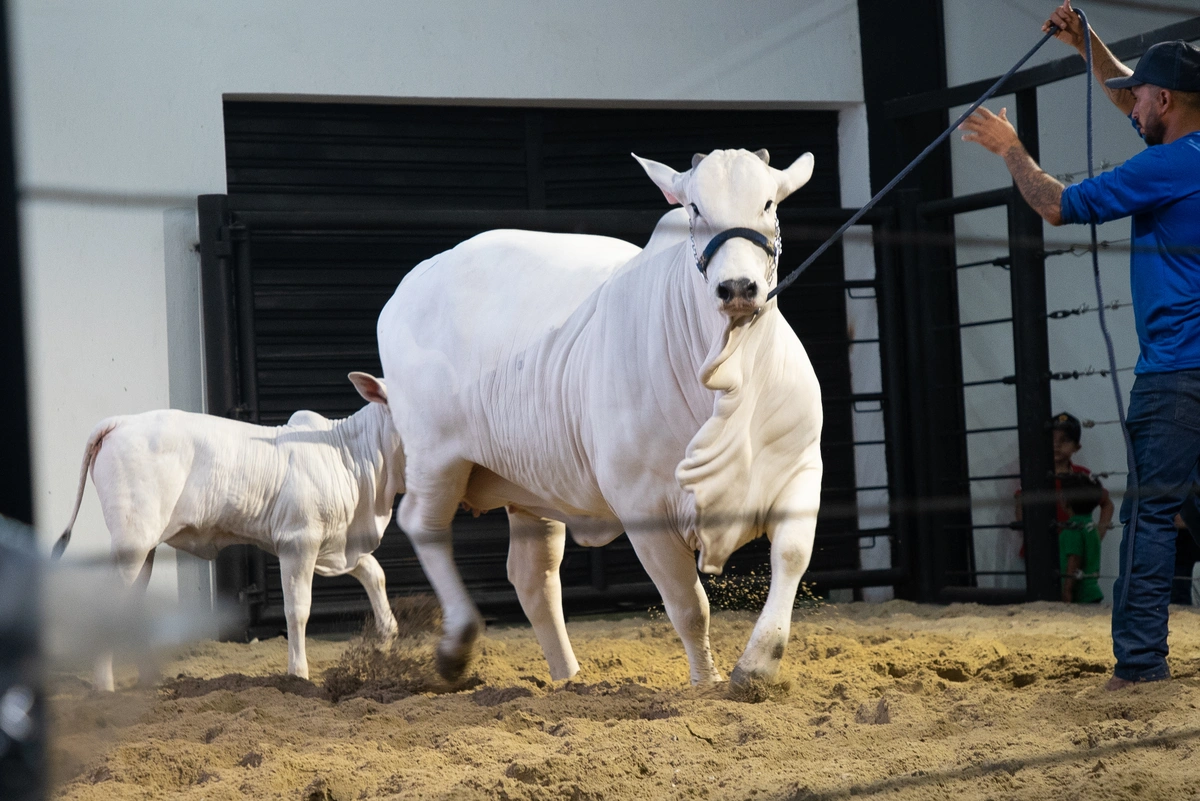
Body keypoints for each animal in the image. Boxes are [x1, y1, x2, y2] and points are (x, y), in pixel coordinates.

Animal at [54, 371, 403, 685]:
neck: (349, 459)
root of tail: (122, 421)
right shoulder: (299, 540)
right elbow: (298, 609)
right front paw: (299, 675)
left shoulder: (338, 545)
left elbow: (375, 573)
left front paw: (384, 647)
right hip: (133, 541)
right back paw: (106, 689)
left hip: (145, 546)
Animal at [379, 146, 820, 685]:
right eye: (694, 207)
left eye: (769, 202)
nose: (737, 286)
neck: (729, 375)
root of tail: (410, 284)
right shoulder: (643, 507)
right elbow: (688, 605)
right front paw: (705, 682)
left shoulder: (801, 465)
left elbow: (792, 554)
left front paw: (756, 664)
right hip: (436, 456)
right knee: (424, 525)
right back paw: (457, 644)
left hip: (530, 484)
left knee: (532, 574)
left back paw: (568, 677)